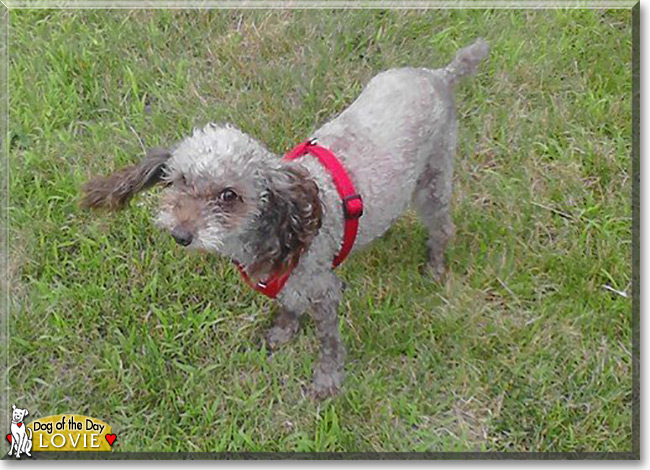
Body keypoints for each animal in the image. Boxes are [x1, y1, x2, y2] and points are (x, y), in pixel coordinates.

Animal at [81, 38, 486, 396]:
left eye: (229, 195)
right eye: (179, 180)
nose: (182, 235)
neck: (281, 221)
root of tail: (439, 74)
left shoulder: (324, 290)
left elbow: (329, 341)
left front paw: (327, 380)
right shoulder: (285, 285)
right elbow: (288, 308)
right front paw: (283, 334)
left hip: (434, 182)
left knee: (442, 228)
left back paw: (434, 267)